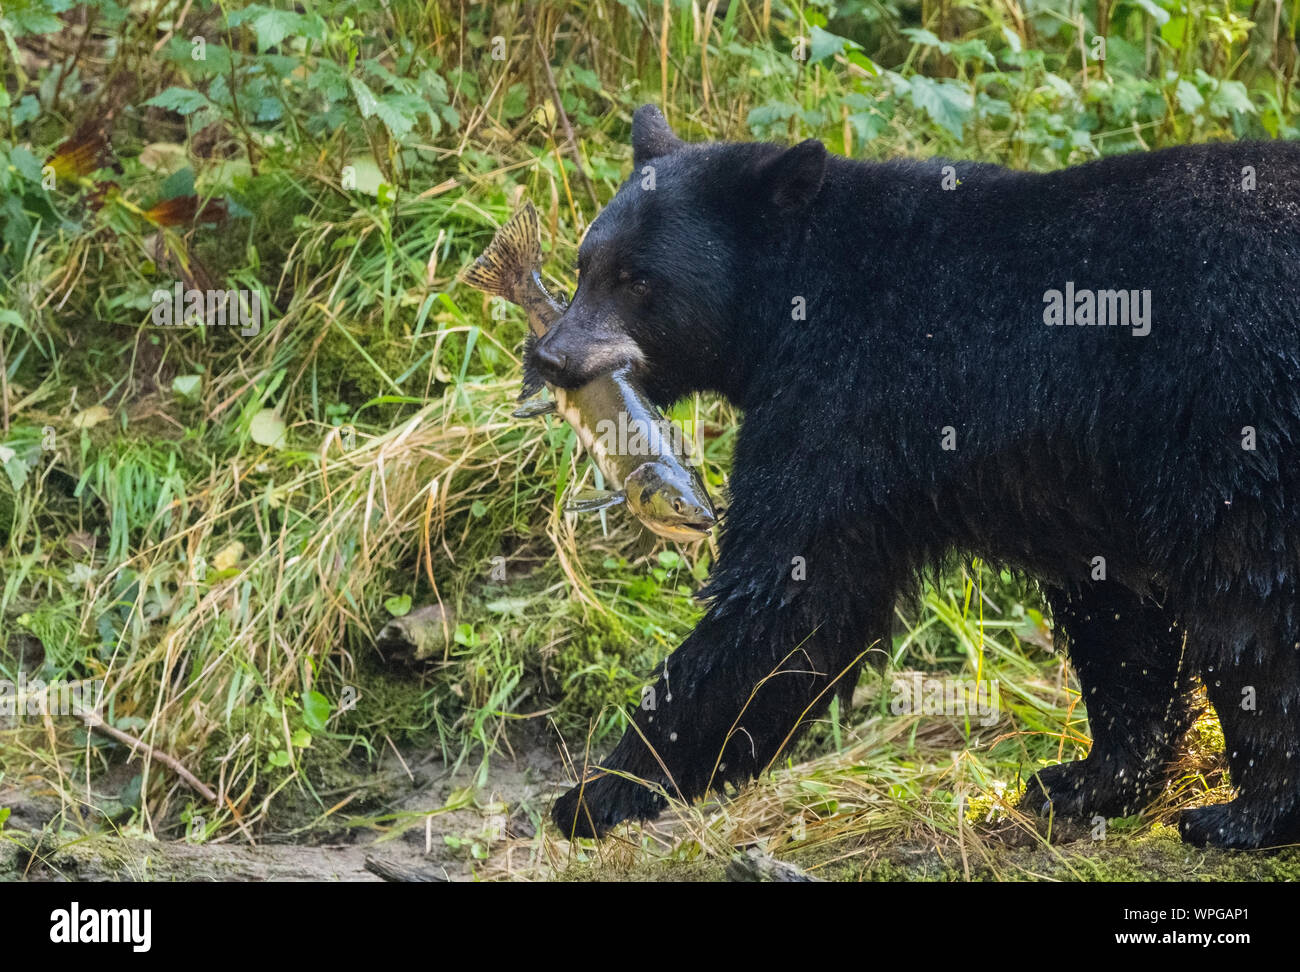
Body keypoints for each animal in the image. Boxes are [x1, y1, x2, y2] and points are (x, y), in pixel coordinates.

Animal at [533, 106, 1300, 847]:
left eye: (638, 279)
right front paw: (1086, 780)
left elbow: (794, 596)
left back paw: (1249, 814)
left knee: (1251, 595)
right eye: (584, 263)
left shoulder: (846, 403)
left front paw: (598, 791)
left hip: (1239, 413)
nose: (550, 356)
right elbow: (1118, 617)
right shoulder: (1078, 476)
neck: (799, 300)